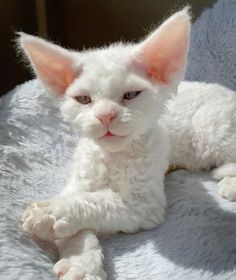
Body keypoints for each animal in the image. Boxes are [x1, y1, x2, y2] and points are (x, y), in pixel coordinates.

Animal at [19, 8, 191, 280]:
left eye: (130, 95)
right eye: (83, 99)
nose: (105, 115)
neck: (112, 157)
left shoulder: (144, 205)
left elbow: (99, 200)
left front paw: (51, 213)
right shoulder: (78, 181)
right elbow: (80, 218)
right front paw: (80, 263)